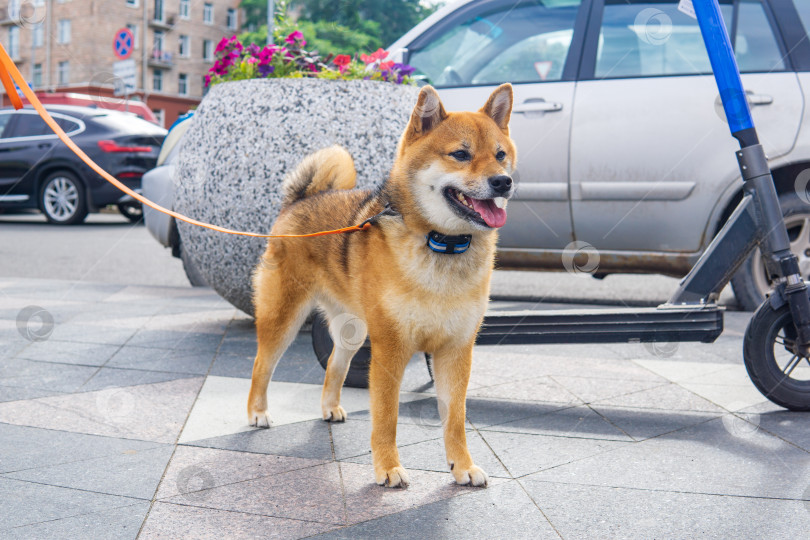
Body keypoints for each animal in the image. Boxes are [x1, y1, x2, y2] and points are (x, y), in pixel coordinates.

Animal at [246, 82, 516, 488]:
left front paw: (463, 467)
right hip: (284, 317)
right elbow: (386, 416)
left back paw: (330, 408)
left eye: (500, 155)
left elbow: (455, 419)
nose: (503, 181)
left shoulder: (456, 350)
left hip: (353, 331)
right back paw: (257, 412)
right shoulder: (391, 349)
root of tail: (300, 200)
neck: (442, 245)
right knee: (262, 363)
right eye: (461, 154)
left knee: (334, 365)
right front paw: (388, 468)